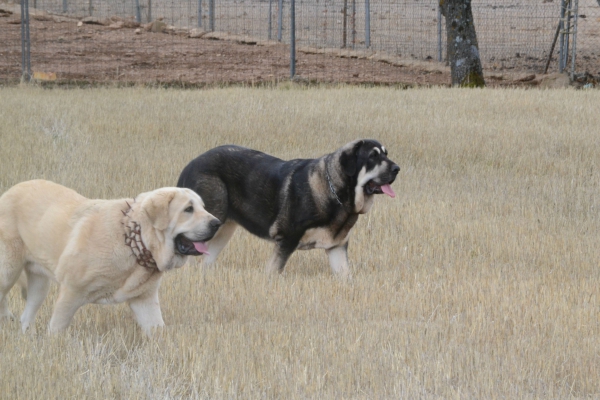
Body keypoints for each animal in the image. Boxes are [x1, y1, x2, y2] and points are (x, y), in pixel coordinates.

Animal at [0, 180, 221, 334]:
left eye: (203, 207)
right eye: (188, 209)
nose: (217, 223)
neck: (134, 240)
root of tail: (9, 192)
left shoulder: (145, 300)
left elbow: (158, 330)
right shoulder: (71, 293)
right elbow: (57, 328)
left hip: (39, 284)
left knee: (27, 315)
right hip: (8, 271)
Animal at [178, 139, 404, 276]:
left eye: (385, 154)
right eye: (373, 157)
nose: (397, 168)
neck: (338, 194)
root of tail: (190, 165)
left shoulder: (337, 248)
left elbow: (345, 275)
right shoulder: (286, 240)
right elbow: (273, 272)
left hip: (222, 230)